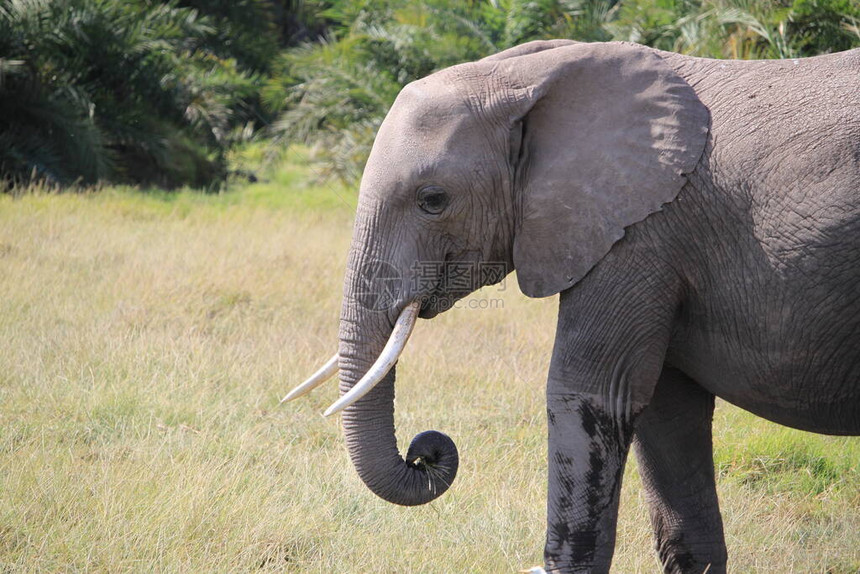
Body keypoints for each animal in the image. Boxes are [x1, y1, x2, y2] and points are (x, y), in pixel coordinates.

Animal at [284, 41, 860, 574]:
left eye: (433, 200)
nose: (424, 450)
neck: (531, 74)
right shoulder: (652, 241)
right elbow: (667, 414)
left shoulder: (639, 233)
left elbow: (588, 396)